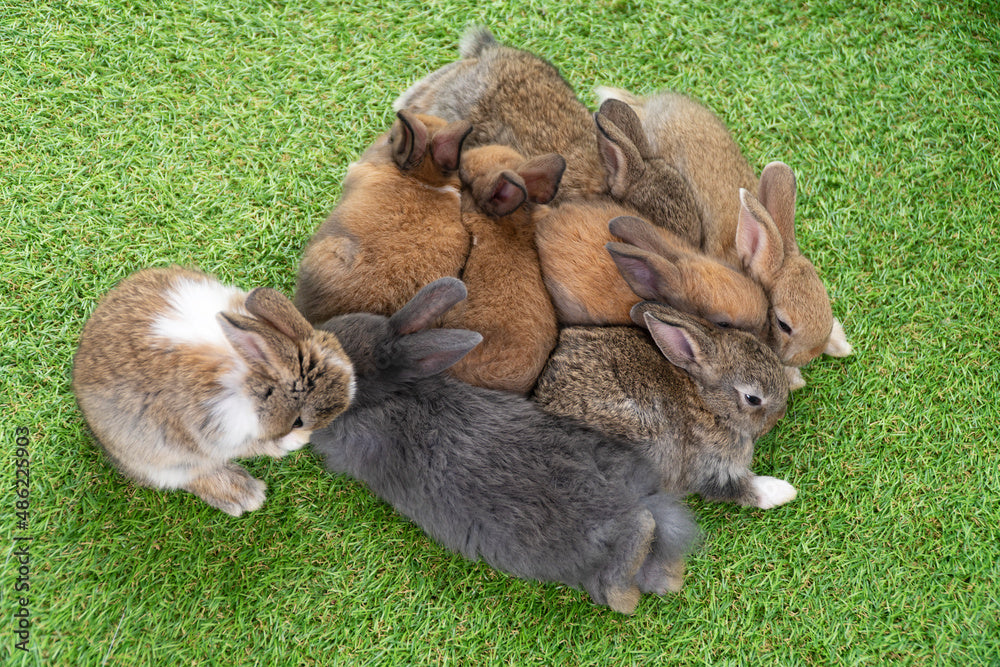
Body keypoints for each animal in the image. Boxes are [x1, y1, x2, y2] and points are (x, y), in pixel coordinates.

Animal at [72, 266, 355, 516]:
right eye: (298, 421)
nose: (316, 429)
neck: (251, 375)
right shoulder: (221, 435)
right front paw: (293, 442)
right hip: (162, 457)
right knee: (185, 476)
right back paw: (244, 495)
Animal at [533, 300, 795, 510]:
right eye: (753, 399)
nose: (781, 414)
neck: (707, 403)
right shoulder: (710, 466)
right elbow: (739, 487)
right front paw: (783, 491)